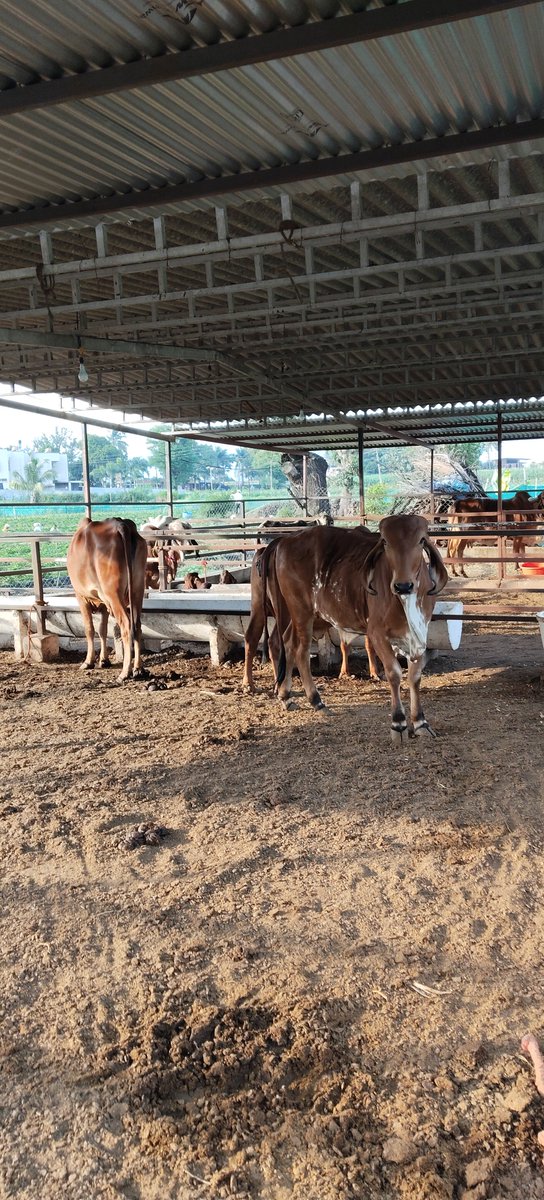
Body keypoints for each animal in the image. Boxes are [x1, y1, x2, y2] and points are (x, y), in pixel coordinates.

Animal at [66, 518, 147, 682]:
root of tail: (121, 524)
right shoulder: (104, 603)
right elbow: (102, 629)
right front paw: (104, 660)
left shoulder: (81, 597)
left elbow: (89, 629)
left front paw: (88, 661)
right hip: (137, 590)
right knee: (137, 624)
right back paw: (138, 669)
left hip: (113, 593)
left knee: (126, 625)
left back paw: (125, 672)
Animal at [255, 516, 448, 744]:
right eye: (385, 542)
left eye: (420, 540)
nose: (403, 586)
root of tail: (285, 540)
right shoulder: (377, 634)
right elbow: (394, 672)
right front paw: (398, 723)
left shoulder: (419, 633)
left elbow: (415, 676)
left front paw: (420, 722)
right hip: (301, 612)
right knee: (300, 650)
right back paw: (316, 700)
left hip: (297, 614)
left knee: (286, 643)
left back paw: (286, 696)